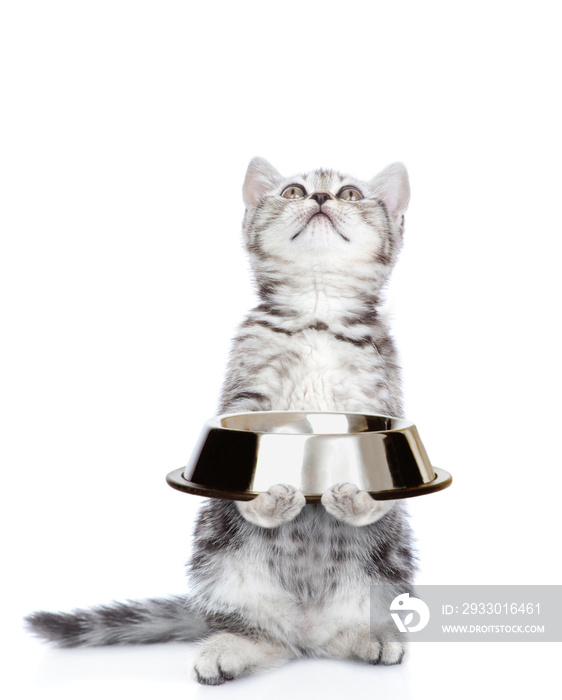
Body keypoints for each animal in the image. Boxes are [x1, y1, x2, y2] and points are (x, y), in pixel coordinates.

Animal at [26, 157, 416, 684]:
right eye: (294, 191)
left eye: (350, 194)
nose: (320, 198)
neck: (316, 315)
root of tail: (307, 630)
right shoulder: (245, 394)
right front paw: (266, 503)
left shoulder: (379, 395)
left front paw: (360, 500)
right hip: (218, 559)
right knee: (257, 632)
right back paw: (230, 646)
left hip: (388, 570)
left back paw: (370, 636)